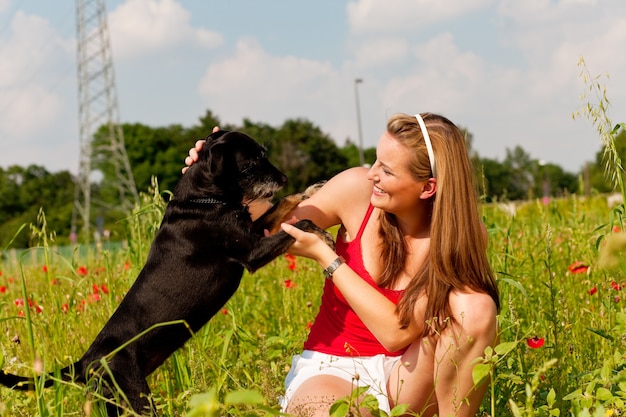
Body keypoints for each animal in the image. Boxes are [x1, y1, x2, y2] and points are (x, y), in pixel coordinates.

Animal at [0, 129, 332, 412]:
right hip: (138, 401)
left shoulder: (255, 229)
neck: (205, 199)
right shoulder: (251, 253)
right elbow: (301, 224)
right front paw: (323, 236)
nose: (284, 177)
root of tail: (84, 363)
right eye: (251, 165)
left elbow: (283, 204)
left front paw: (310, 190)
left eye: (265, 154)